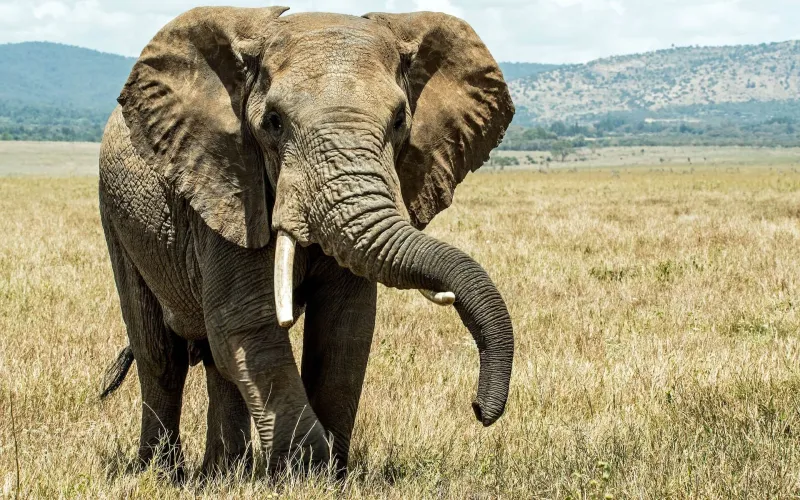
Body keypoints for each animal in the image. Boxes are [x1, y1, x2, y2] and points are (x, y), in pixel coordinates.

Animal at [97, 6, 515, 479]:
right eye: (274, 123)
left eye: (399, 121)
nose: (480, 409)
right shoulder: (229, 186)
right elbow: (247, 321)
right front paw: (307, 471)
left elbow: (344, 328)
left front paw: (330, 474)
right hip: (117, 218)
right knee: (161, 355)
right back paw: (162, 474)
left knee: (216, 360)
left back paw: (223, 475)